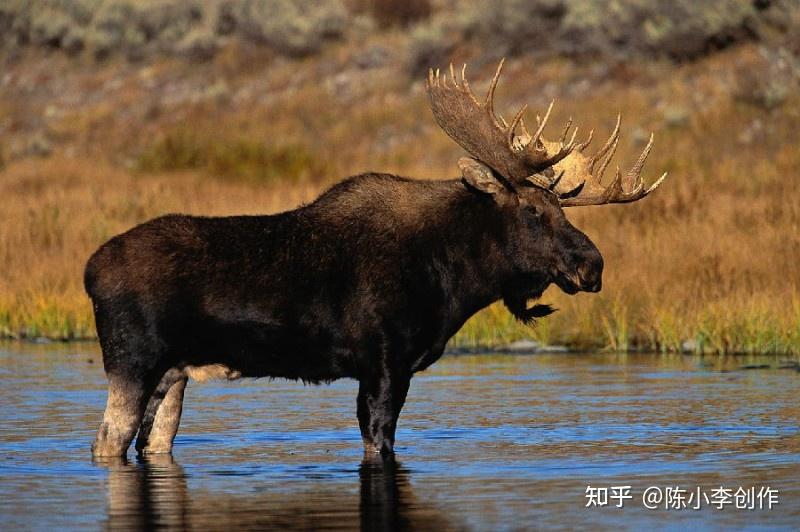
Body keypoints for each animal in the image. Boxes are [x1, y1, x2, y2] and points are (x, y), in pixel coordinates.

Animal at [87, 61, 664, 458]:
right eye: (532, 210)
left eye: (561, 207)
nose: (593, 265)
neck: (453, 279)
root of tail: (90, 270)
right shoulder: (385, 360)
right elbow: (378, 439)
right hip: (133, 360)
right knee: (107, 441)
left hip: (174, 374)